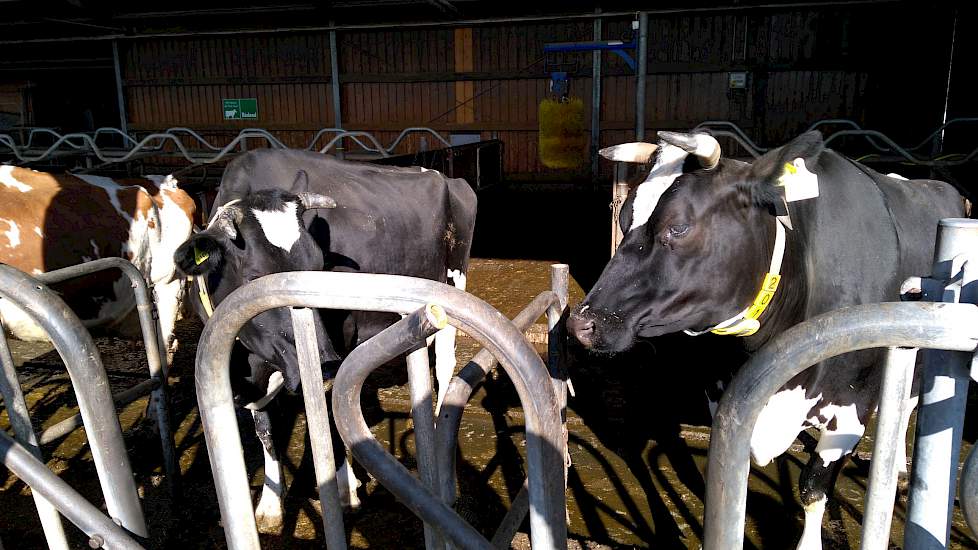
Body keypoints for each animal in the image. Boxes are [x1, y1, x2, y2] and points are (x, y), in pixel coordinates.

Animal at [176, 148, 480, 536]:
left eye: (319, 266)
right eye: (254, 277)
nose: (324, 360)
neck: (252, 366)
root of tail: (445, 177)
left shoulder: (339, 338)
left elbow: (325, 407)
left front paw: (346, 487)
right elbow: (266, 430)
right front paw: (270, 504)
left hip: (453, 281)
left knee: (444, 365)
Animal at [564, 130, 960, 550]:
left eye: (679, 227)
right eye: (624, 220)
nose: (583, 322)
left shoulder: (854, 403)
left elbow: (813, 488)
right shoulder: (722, 392)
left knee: (906, 407)